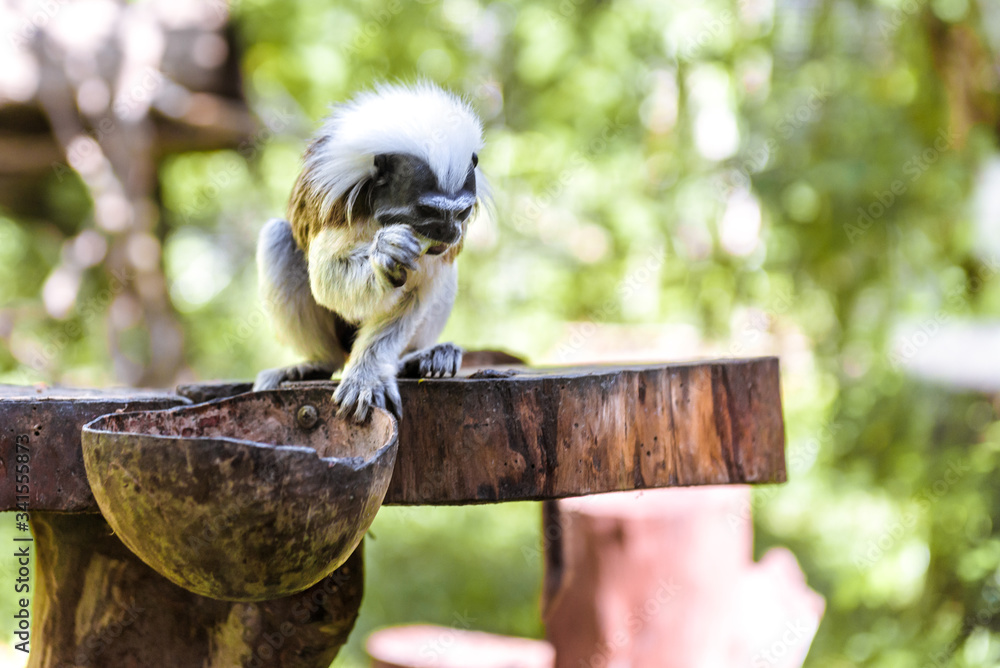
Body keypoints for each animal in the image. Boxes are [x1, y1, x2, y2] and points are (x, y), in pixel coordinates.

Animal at [252, 82, 487, 423]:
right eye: (428, 211)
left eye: (461, 213)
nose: (450, 233)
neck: (380, 216)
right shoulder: (340, 207)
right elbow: (326, 278)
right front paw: (383, 253)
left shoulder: (436, 248)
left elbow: (416, 290)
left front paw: (367, 374)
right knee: (278, 237)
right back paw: (315, 364)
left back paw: (421, 357)